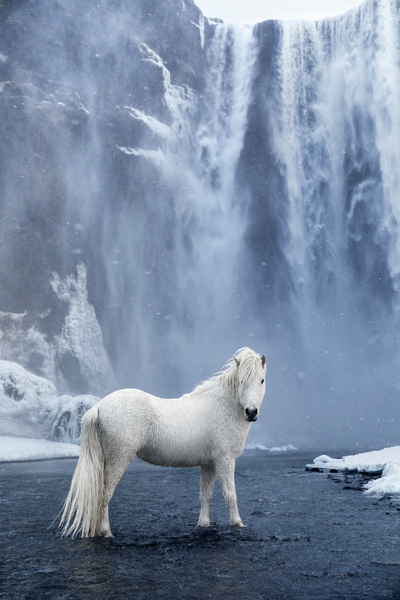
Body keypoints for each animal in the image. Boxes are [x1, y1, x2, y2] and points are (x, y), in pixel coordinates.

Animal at [60, 346, 266, 540]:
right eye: (241, 381)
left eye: (262, 380)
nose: (251, 412)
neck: (222, 406)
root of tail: (99, 406)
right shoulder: (225, 459)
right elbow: (230, 494)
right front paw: (237, 523)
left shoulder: (209, 463)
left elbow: (205, 495)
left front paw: (204, 524)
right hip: (118, 459)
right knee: (104, 494)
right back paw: (106, 532)